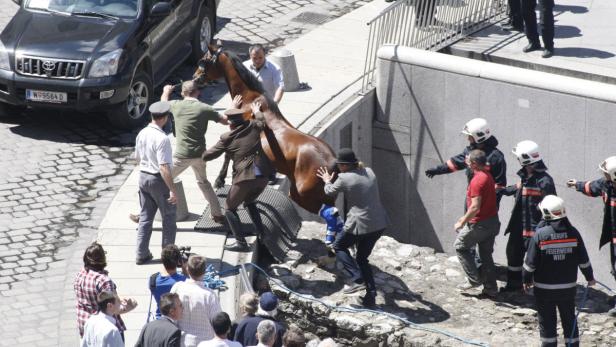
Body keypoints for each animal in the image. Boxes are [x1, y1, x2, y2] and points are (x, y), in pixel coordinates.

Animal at [194, 45, 334, 215]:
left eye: (204, 60)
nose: (195, 77)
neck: (249, 100)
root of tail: (333, 161)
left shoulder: (233, 131)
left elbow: (227, 153)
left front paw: (219, 180)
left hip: (303, 196)